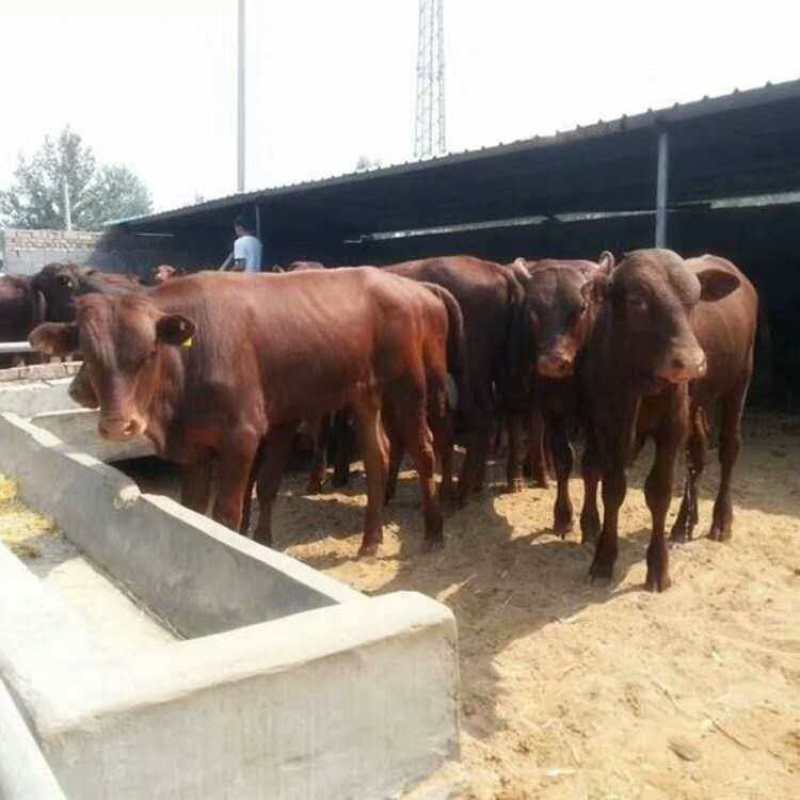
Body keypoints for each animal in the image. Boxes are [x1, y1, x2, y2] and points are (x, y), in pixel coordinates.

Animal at [32, 268, 462, 556]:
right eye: (87, 353)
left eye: (150, 351)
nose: (118, 425)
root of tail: (409, 284)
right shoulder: (197, 446)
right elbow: (196, 509)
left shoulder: (243, 436)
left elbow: (227, 511)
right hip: (364, 393)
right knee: (377, 456)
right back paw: (370, 541)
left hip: (410, 386)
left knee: (424, 450)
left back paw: (434, 532)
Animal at [580, 250, 740, 592]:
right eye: (637, 299)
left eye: (694, 299)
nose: (693, 362)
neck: (639, 382)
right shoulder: (610, 426)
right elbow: (612, 487)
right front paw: (604, 558)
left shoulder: (670, 429)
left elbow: (659, 492)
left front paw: (658, 566)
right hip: (698, 407)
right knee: (697, 456)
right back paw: (684, 524)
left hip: (737, 386)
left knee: (729, 449)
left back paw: (721, 520)